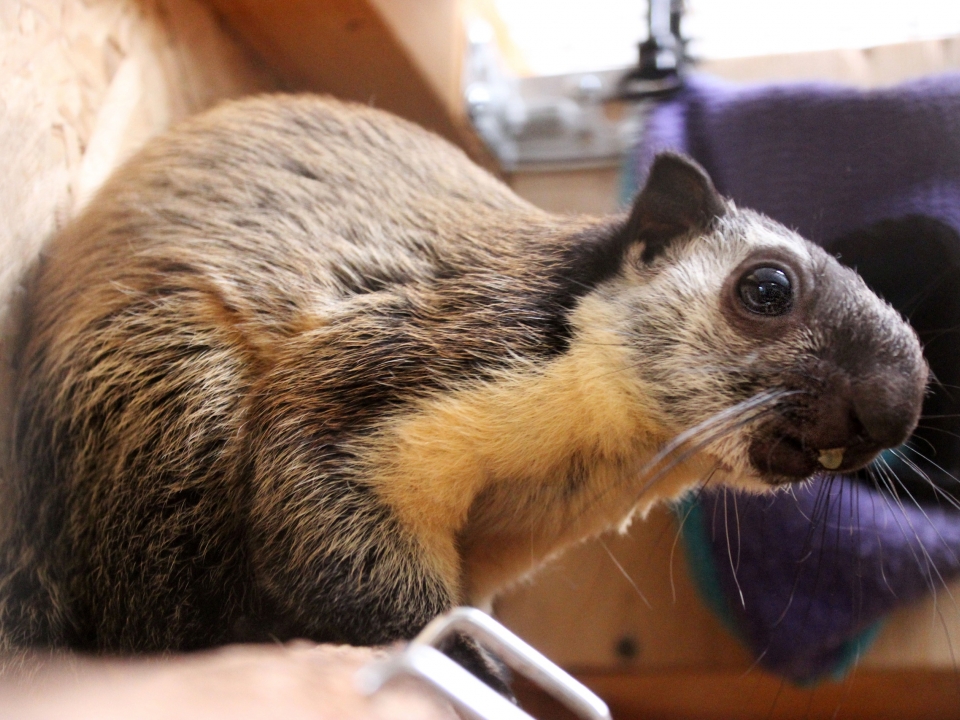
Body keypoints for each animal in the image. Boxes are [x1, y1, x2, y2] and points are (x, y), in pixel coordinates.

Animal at [1, 94, 928, 668]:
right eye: (766, 288)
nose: (895, 408)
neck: (598, 466)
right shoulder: (380, 387)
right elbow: (350, 561)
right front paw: (467, 658)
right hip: (179, 396)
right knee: (149, 625)